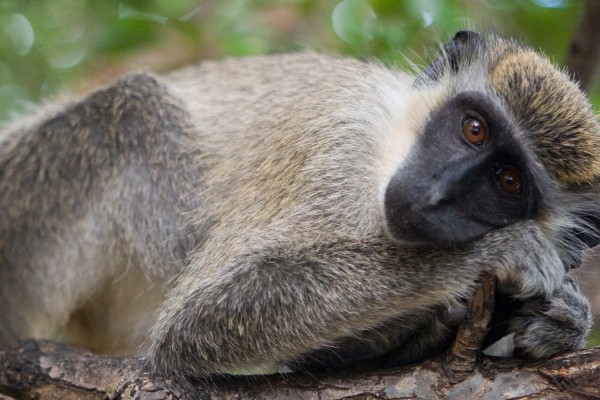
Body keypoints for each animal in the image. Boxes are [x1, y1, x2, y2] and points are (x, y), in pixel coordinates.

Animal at [0, 29, 596, 380]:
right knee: (129, 111)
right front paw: (499, 253)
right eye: (473, 129)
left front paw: (560, 321)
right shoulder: (335, 146)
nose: (438, 191)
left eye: (509, 181)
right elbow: (196, 320)